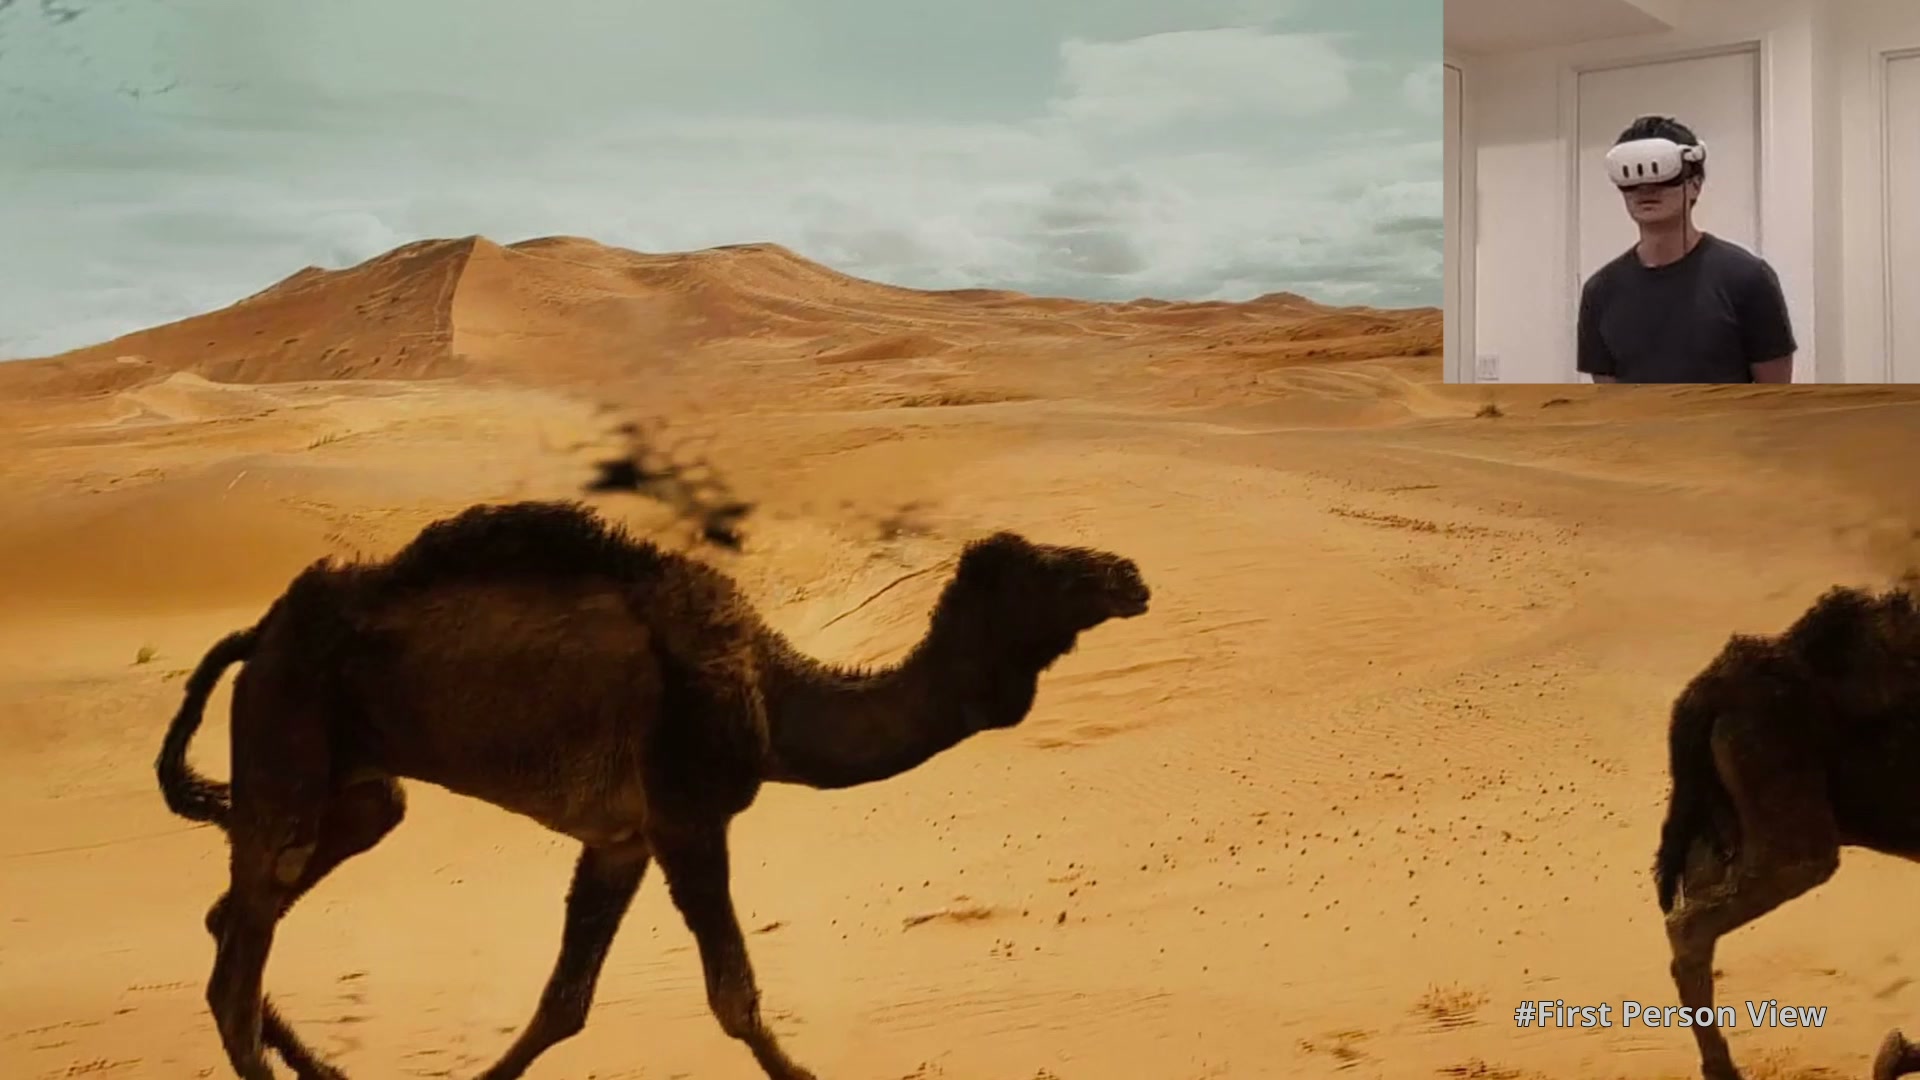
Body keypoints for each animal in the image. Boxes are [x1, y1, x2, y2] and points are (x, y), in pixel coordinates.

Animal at [153, 500, 1151, 1080]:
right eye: (1046, 570)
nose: (1130, 573)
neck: (772, 694)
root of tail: (258, 634)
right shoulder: (685, 817)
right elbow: (735, 998)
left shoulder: (621, 839)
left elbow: (564, 1003)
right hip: (285, 740)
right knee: (236, 970)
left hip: (353, 787)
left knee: (246, 908)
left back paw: (321, 1067)